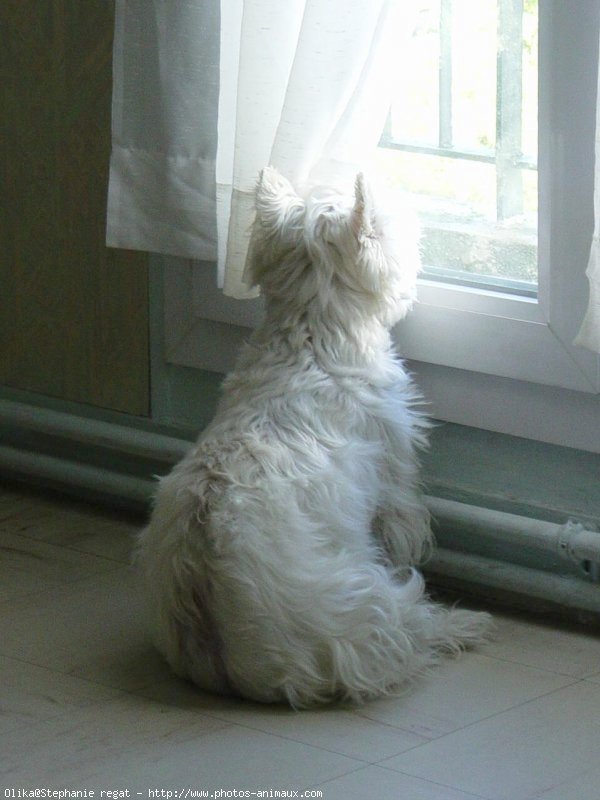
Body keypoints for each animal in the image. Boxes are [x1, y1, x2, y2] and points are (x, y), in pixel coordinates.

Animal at [137, 167, 492, 708]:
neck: (308, 334)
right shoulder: (394, 470)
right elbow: (400, 526)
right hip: (362, 607)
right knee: (405, 628)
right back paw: (462, 624)